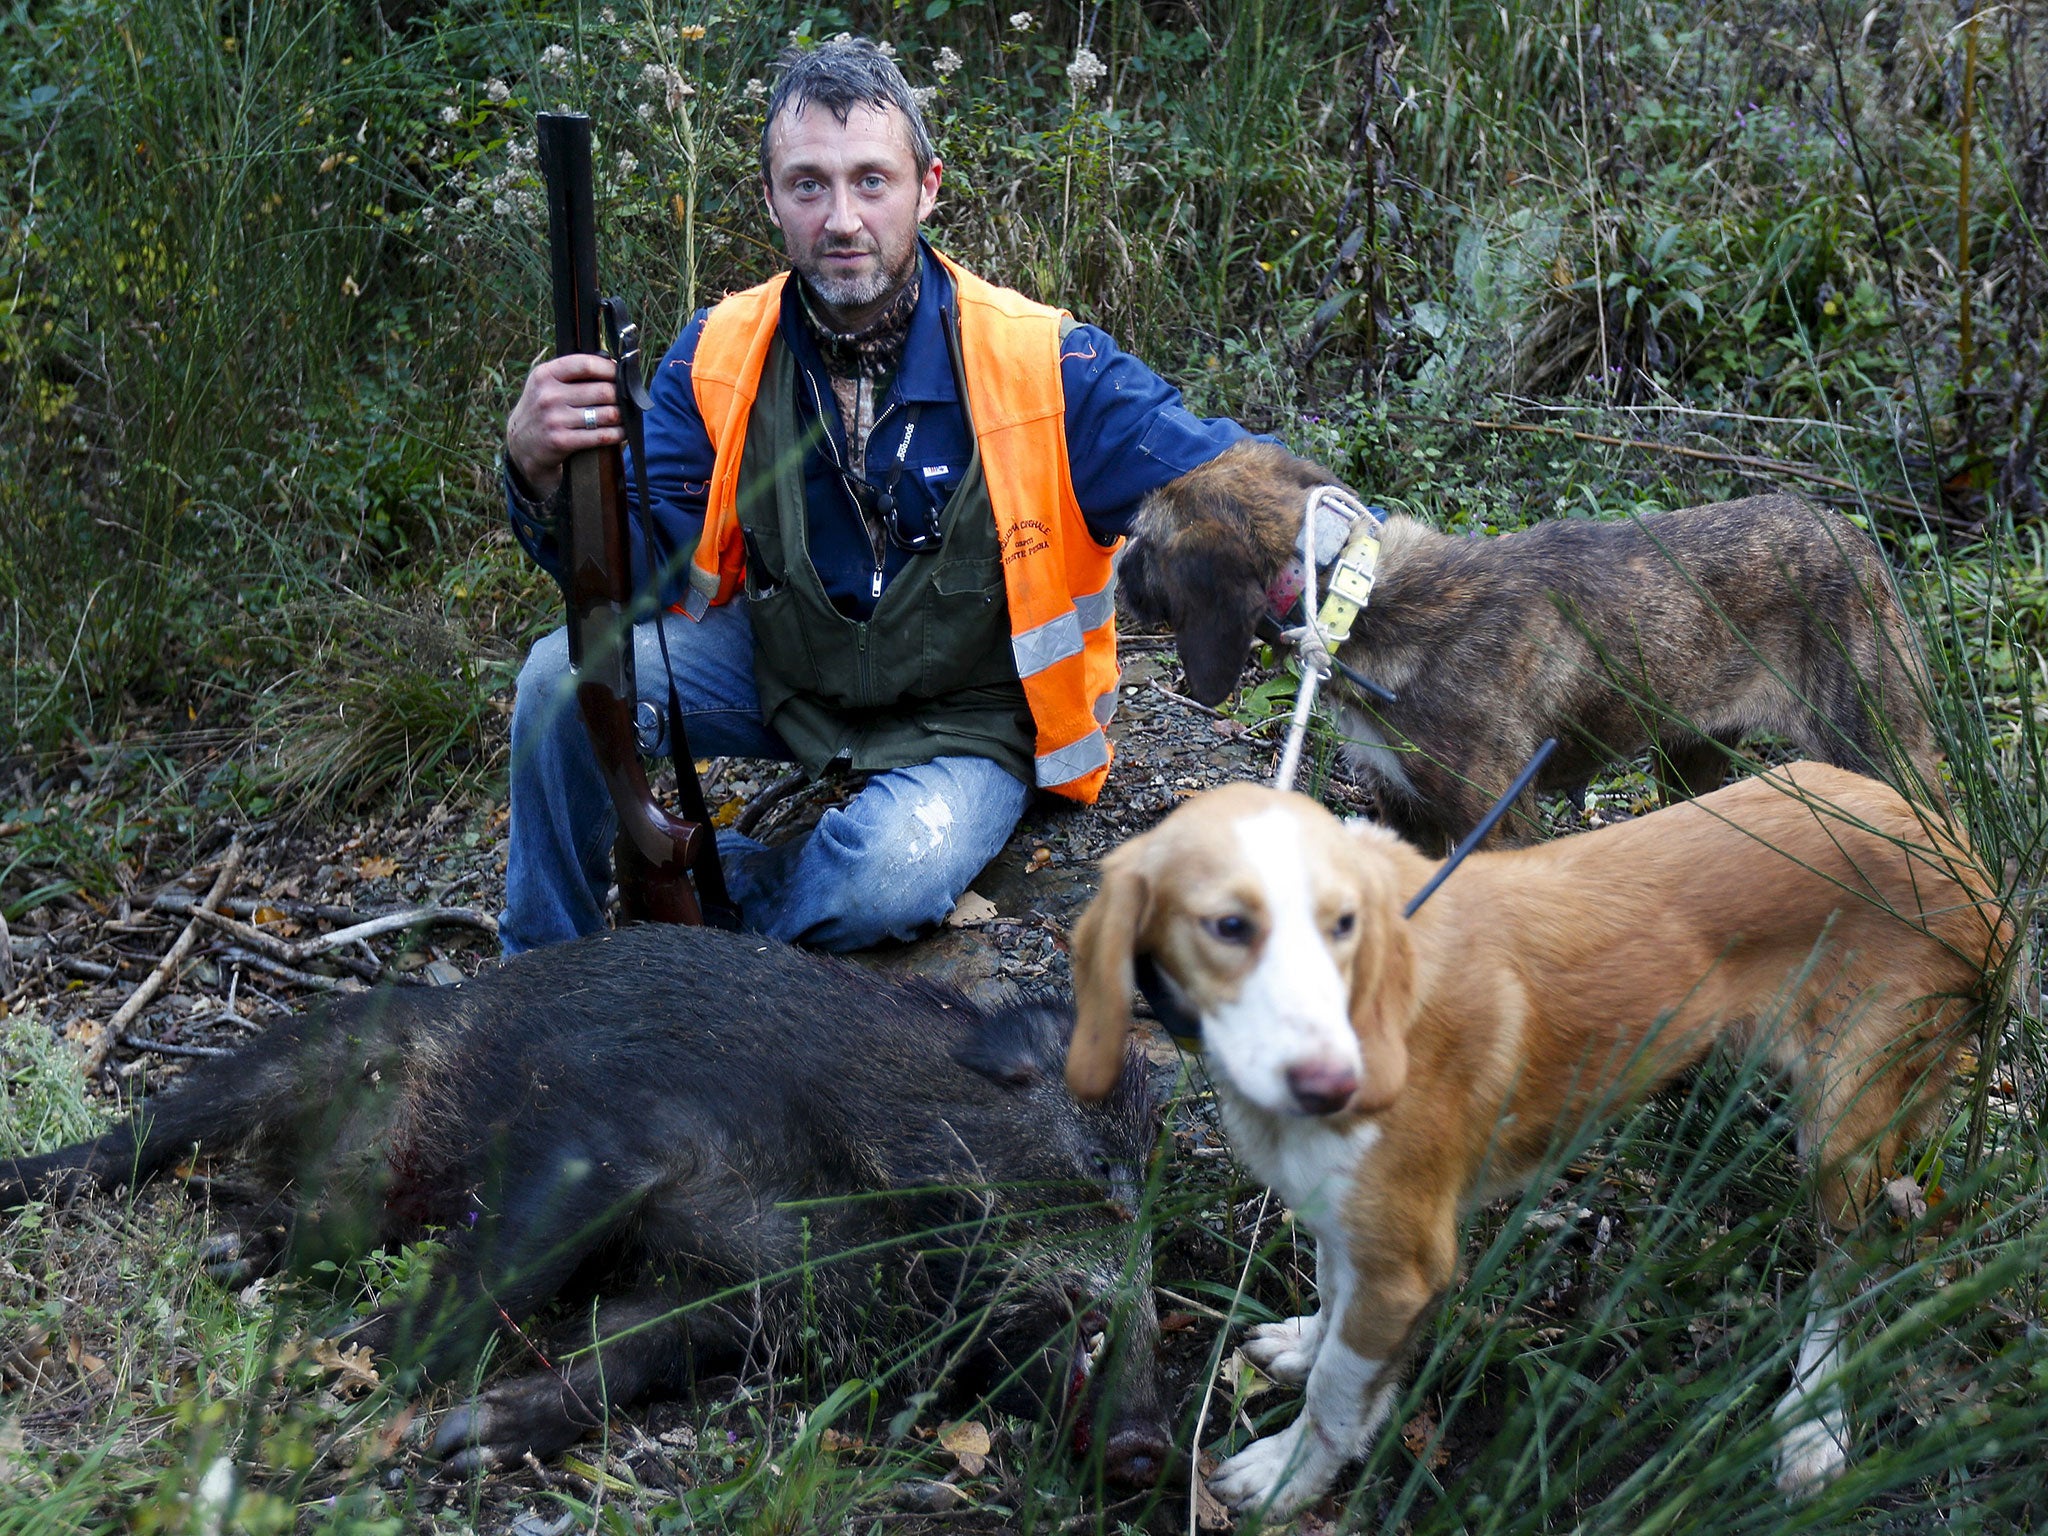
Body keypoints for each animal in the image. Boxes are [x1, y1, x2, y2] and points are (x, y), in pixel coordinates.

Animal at [1064, 765, 2007, 1515]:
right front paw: (1303, 1345)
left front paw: (1289, 1474)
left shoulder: (1408, 1265)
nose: (1341, 1085)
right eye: (1227, 927)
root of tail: (1962, 851)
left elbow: (1339, 1392)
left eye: (1344, 926)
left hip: (1844, 1129)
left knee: (1848, 1271)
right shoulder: (1353, 1222)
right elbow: (1332, 1304)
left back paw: (1814, 1425)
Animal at [1122, 442, 1933, 856]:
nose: (1115, 564)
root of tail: (1856, 536)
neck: (1354, 593)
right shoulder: (1404, 815)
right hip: (1690, 759)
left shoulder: (1497, 824)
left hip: (1882, 755)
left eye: (1144, 538)